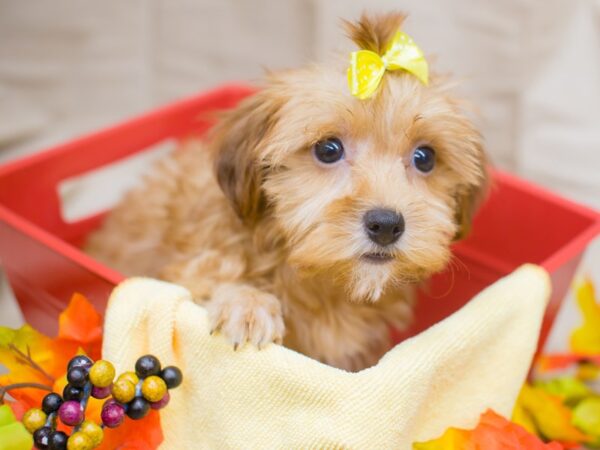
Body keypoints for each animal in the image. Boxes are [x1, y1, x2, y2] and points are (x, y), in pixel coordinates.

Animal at [85, 13, 488, 372]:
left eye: (425, 158)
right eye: (328, 149)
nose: (387, 224)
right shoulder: (192, 264)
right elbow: (203, 282)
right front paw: (247, 306)